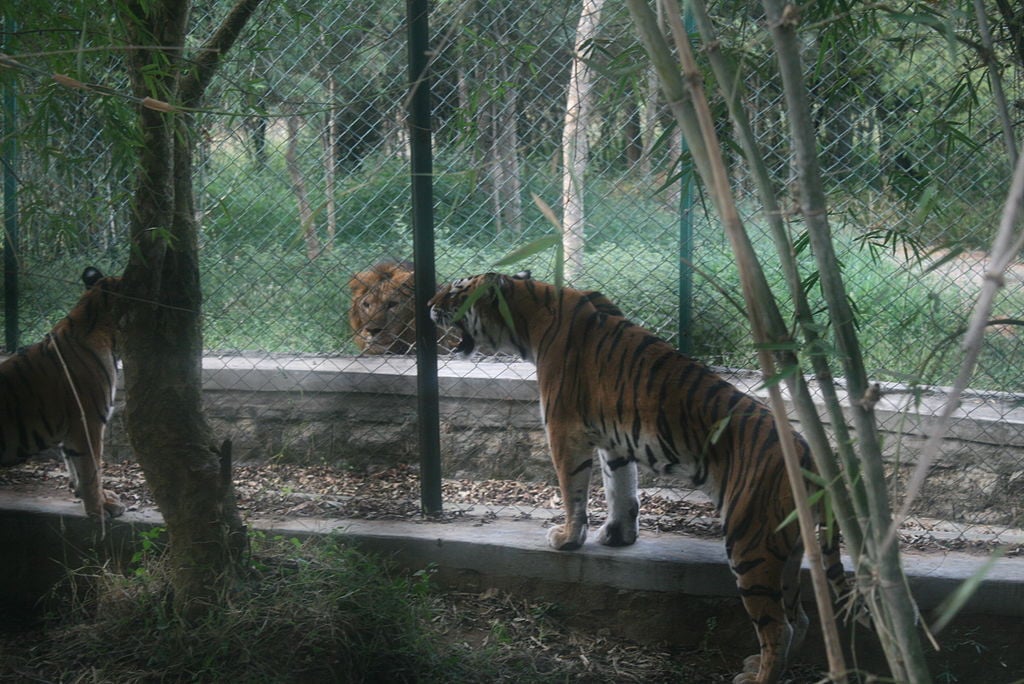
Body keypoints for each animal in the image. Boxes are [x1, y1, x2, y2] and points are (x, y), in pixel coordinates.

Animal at [432, 272, 856, 684]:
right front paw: (618, 536)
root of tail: (811, 456)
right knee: (801, 617)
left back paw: (758, 677)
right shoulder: (614, 439)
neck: (530, 313)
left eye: (455, 292)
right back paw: (761, 666)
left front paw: (567, 538)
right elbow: (621, 488)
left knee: (778, 627)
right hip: (789, 550)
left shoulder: (563, 430)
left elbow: (573, 490)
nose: (429, 304)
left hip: (750, 543)